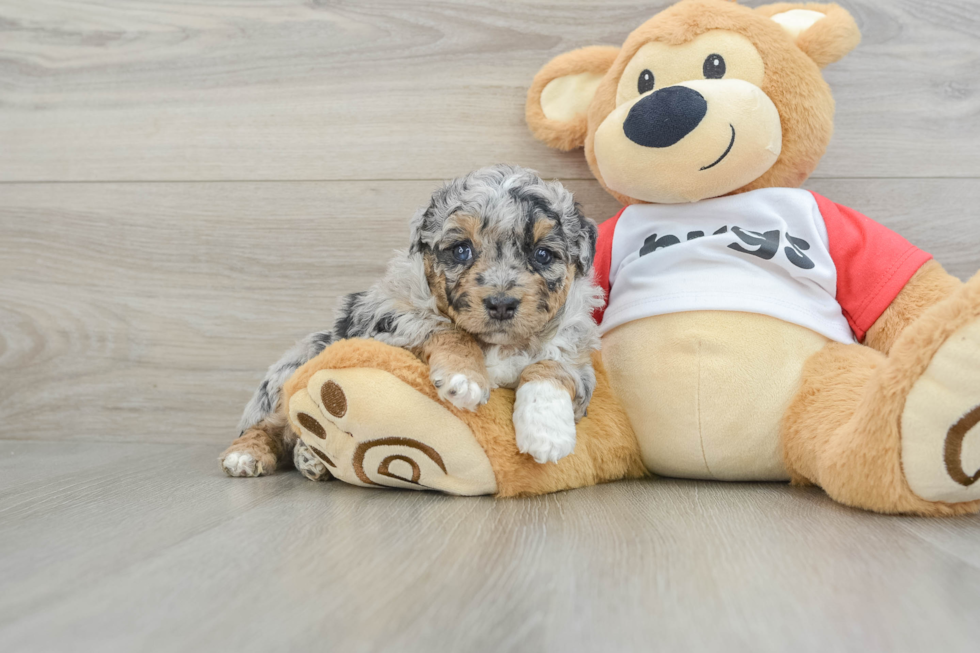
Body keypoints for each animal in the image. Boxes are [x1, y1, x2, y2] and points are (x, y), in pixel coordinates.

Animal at [221, 163, 600, 478]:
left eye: (542, 254)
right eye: (461, 250)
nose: (502, 304)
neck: (499, 344)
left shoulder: (575, 345)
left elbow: (553, 365)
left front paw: (547, 431)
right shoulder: (385, 315)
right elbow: (443, 326)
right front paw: (465, 377)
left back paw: (312, 458)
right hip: (302, 362)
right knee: (272, 421)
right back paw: (247, 455)